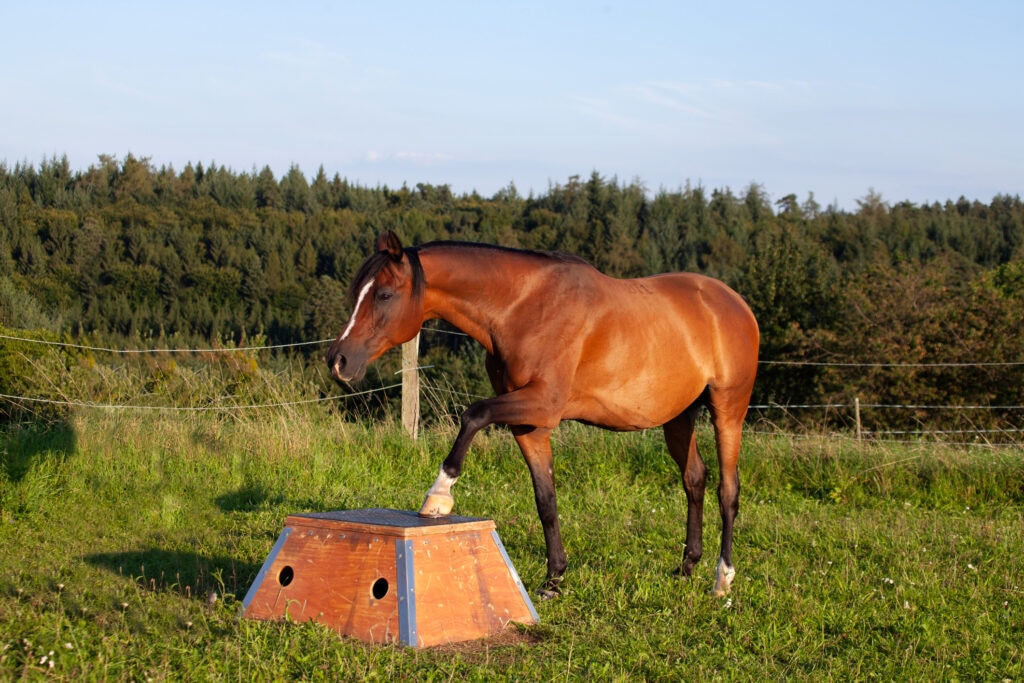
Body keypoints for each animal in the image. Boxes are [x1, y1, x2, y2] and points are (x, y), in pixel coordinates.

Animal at [327, 230, 759, 598]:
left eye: (384, 294)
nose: (338, 361)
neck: (522, 308)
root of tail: (735, 303)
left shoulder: (542, 404)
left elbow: (473, 414)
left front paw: (439, 496)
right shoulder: (528, 424)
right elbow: (546, 500)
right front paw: (554, 579)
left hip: (728, 411)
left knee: (728, 491)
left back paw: (722, 580)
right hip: (679, 417)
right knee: (694, 480)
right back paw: (686, 567)